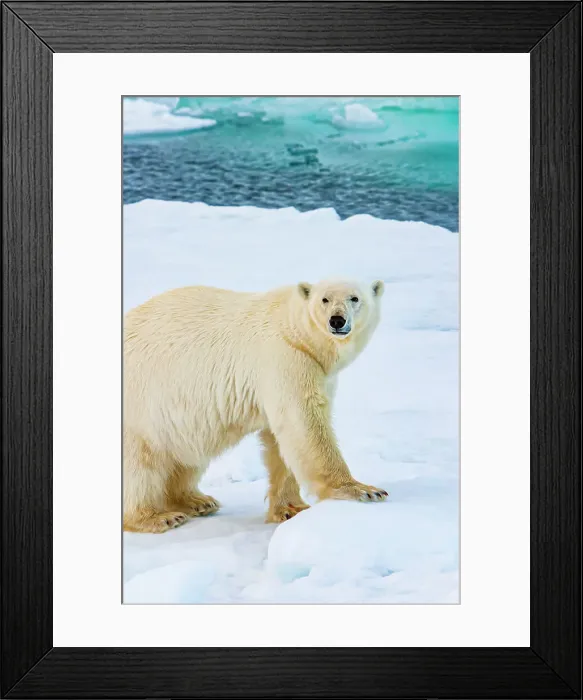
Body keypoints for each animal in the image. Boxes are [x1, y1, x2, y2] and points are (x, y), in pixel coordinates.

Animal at [123, 278, 388, 533]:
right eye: (325, 299)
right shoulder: (286, 359)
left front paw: (291, 509)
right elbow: (303, 424)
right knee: (139, 464)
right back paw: (157, 517)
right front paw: (364, 490)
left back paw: (197, 501)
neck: (293, 329)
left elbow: (280, 439)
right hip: (141, 406)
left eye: (355, 298)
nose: (337, 320)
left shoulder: (315, 372)